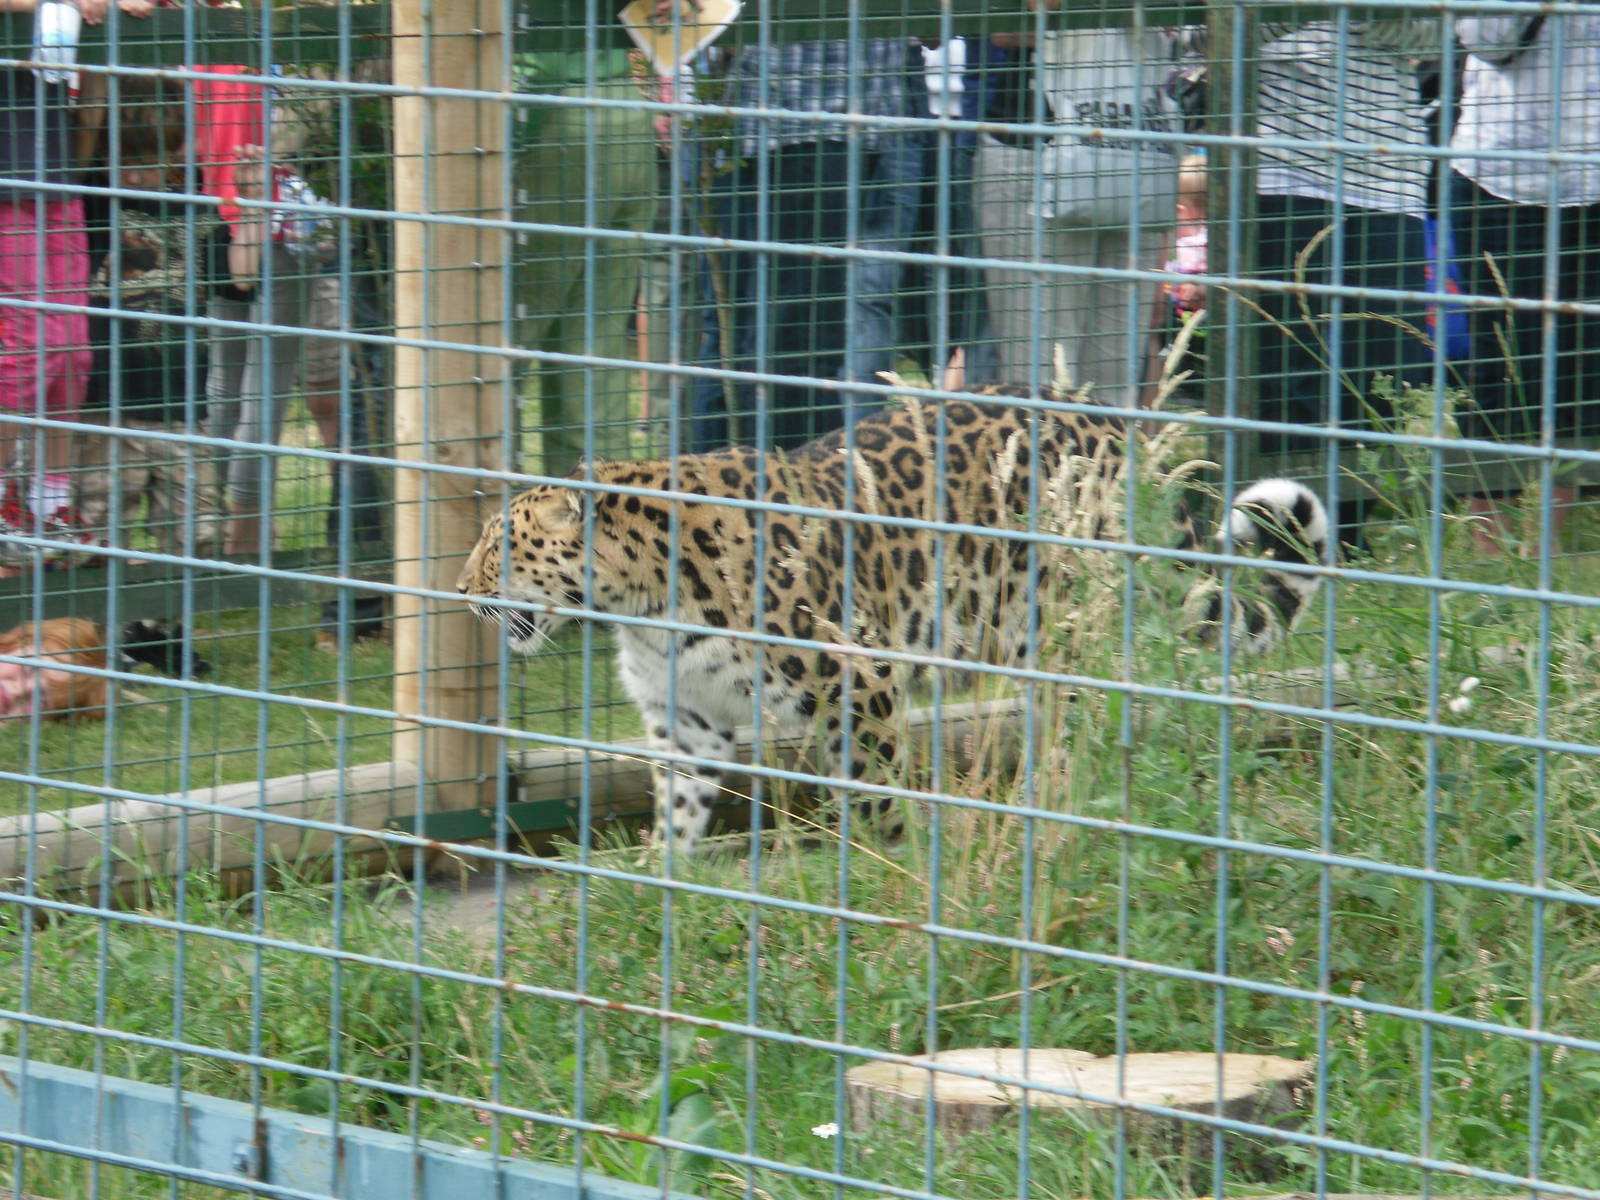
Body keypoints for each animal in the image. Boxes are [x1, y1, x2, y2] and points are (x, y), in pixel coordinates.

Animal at [457, 385, 1328, 853]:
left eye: (499, 546)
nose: (462, 592)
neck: (642, 604)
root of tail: (1119, 429)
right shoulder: (685, 719)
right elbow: (675, 810)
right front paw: (656, 887)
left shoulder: (860, 676)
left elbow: (873, 787)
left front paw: (890, 867)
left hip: (1058, 628)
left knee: (1090, 722)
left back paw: (1054, 813)